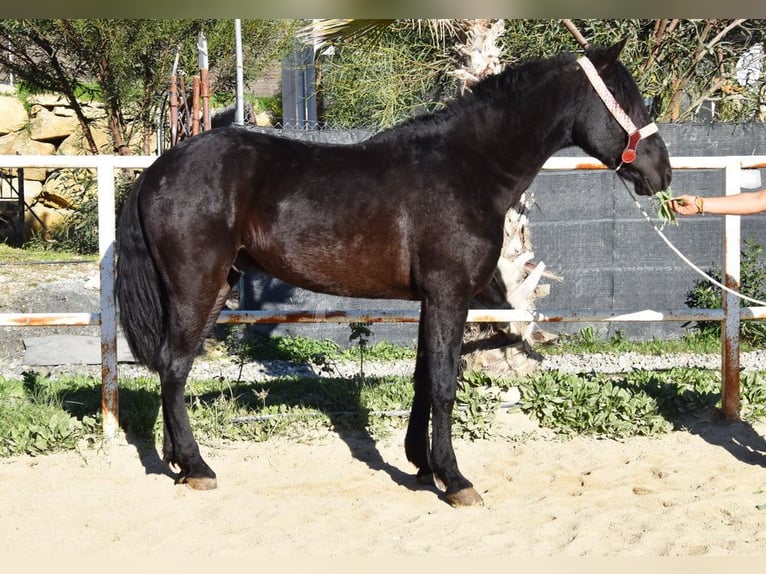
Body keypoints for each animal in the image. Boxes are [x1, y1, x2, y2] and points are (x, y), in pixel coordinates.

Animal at [115, 40, 672, 508]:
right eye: (629, 103)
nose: (662, 173)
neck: (467, 167)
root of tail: (159, 169)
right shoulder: (449, 295)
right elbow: (445, 383)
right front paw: (456, 480)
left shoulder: (431, 299)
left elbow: (425, 378)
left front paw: (423, 465)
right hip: (196, 285)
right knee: (174, 366)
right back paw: (197, 466)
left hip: (216, 287)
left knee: (173, 367)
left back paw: (179, 463)